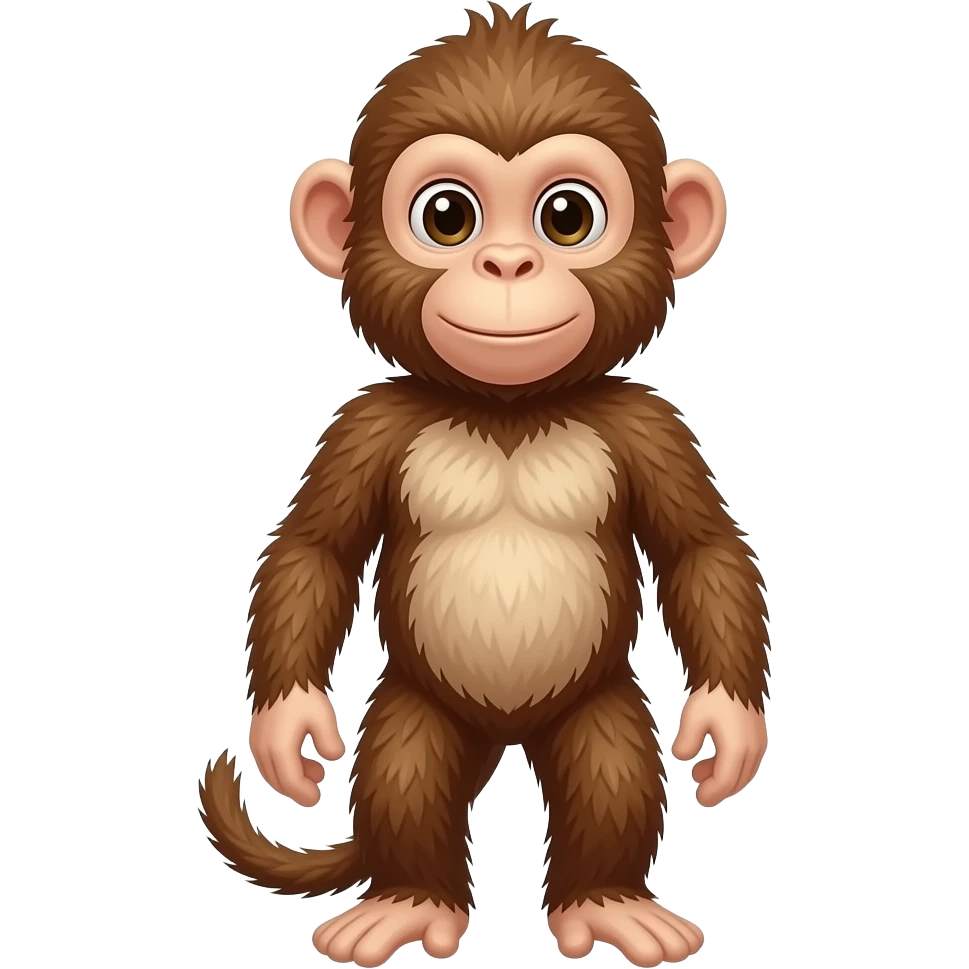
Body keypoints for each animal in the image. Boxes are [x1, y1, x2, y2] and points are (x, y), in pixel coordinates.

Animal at [197, 5, 771, 967]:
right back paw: (410, 900)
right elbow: (315, 549)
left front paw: (727, 727)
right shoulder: (366, 424)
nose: (507, 264)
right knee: (408, 765)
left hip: (595, 699)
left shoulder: (650, 425)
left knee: (610, 763)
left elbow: (702, 550)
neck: (507, 414)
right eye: (447, 216)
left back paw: (607, 901)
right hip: (420, 704)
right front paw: (288, 726)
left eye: (567, 216)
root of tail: (503, 735)